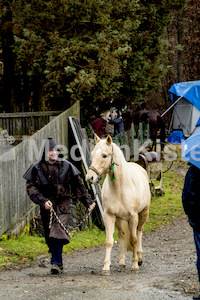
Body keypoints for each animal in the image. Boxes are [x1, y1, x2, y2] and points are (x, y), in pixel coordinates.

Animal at [85, 135, 150, 276]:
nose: (89, 178)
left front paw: (135, 265)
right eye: (92, 154)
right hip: (119, 220)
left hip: (143, 214)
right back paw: (121, 262)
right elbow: (110, 241)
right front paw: (106, 267)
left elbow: (134, 240)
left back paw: (139, 257)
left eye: (104, 155)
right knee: (122, 235)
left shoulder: (133, 217)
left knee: (139, 232)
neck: (120, 188)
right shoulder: (109, 216)